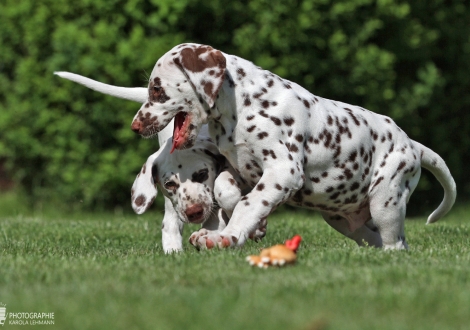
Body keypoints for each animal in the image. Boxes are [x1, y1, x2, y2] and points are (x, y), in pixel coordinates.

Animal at [126, 43, 458, 250]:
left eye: (157, 90)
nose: (136, 126)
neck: (242, 106)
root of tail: (412, 143)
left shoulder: (282, 171)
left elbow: (249, 203)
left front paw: (228, 236)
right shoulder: (240, 168)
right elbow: (224, 189)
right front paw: (246, 226)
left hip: (386, 202)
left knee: (396, 243)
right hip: (347, 221)